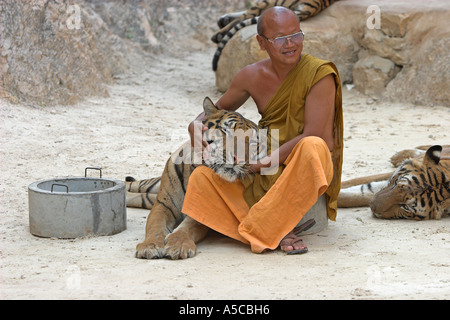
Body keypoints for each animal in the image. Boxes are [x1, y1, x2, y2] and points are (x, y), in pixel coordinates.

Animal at [130, 96, 264, 258]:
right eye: (226, 131)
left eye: (253, 142)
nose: (239, 159)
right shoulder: (163, 205)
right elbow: (155, 226)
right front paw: (150, 246)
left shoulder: (200, 212)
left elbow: (187, 227)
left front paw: (178, 246)